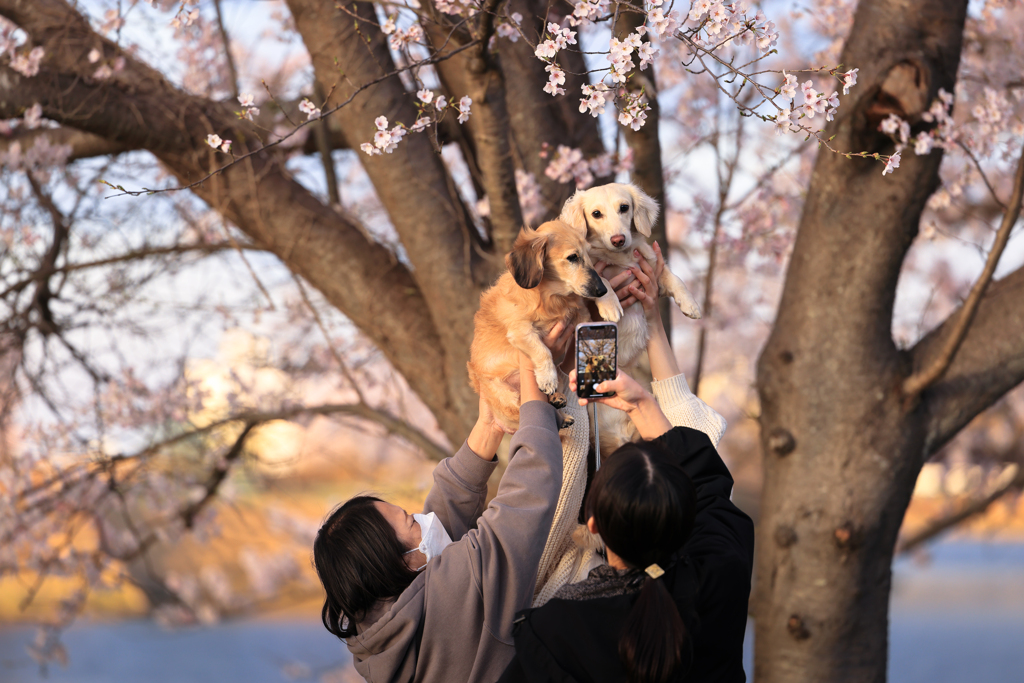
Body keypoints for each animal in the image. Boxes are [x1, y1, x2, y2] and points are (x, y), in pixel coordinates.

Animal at [468, 219, 622, 432]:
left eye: (589, 253)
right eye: (572, 257)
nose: (601, 291)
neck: (551, 297)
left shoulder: (580, 315)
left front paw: (610, 303)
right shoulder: (520, 331)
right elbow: (542, 351)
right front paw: (547, 378)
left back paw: (557, 399)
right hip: (507, 396)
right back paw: (561, 415)